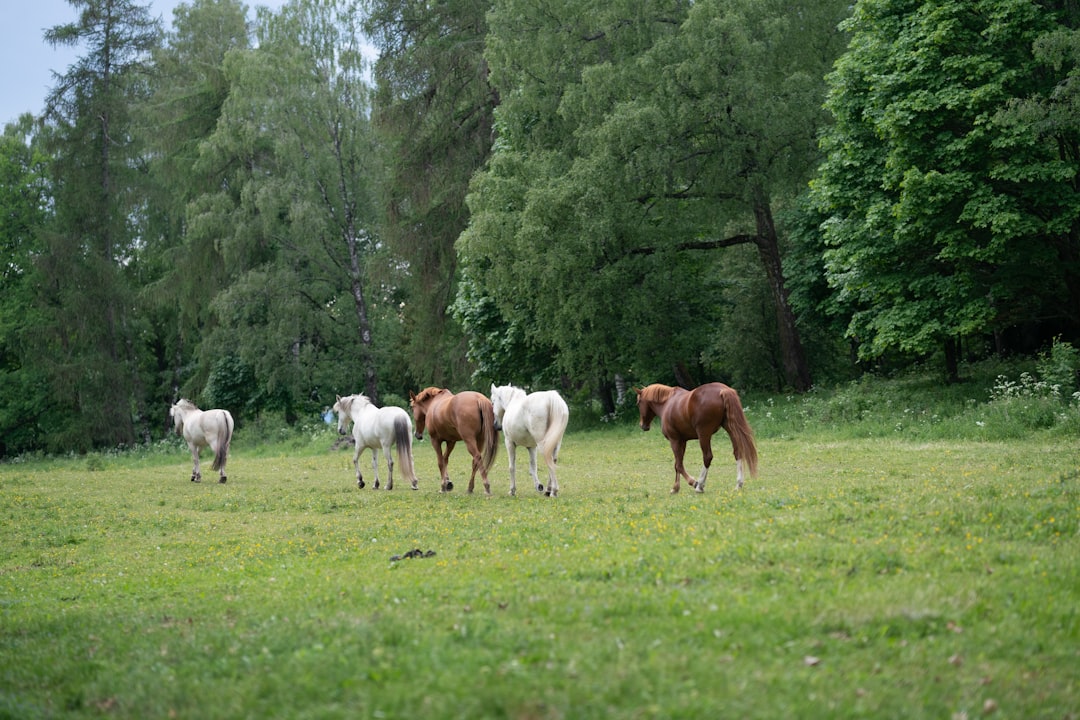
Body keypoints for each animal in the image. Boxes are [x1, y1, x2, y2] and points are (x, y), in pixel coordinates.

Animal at [630, 382, 760, 496]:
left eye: (638, 403)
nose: (643, 426)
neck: (667, 403)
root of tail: (723, 390)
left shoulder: (674, 440)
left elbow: (679, 465)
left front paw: (693, 482)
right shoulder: (682, 441)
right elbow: (677, 464)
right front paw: (675, 488)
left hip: (704, 434)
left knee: (707, 457)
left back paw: (700, 485)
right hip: (731, 429)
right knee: (738, 452)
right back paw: (738, 484)